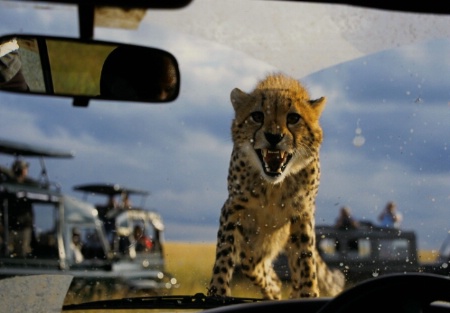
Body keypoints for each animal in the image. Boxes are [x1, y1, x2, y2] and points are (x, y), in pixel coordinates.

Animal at [207, 72, 344, 298]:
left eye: (293, 118)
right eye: (257, 116)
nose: (274, 137)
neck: (273, 186)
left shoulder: (302, 212)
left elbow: (306, 260)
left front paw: (308, 293)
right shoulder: (233, 207)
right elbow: (225, 251)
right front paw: (218, 291)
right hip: (253, 246)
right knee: (259, 269)